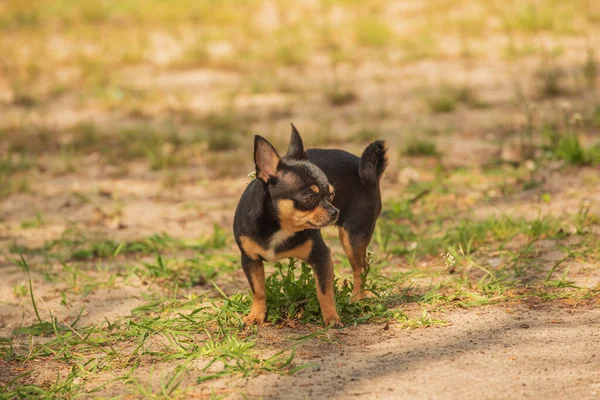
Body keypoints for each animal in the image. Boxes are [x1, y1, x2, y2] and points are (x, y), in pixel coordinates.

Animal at [232, 125, 386, 328]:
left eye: (332, 194)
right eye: (310, 199)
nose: (334, 211)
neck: (279, 227)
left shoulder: (321, 256)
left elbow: (324, 291)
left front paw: (332, 318)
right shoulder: (250, 260)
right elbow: (258, 290)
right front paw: (256, 315)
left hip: (352, 239)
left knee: (360, 269)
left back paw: (357, 298)